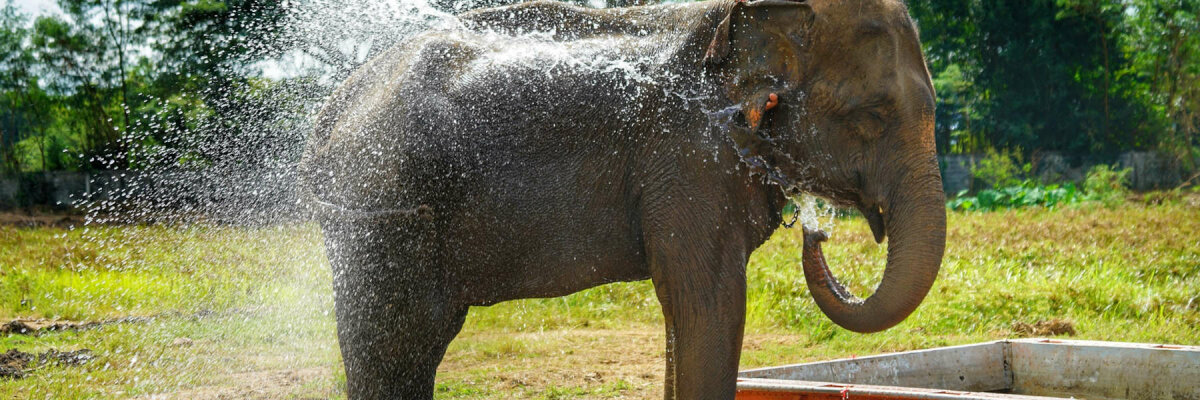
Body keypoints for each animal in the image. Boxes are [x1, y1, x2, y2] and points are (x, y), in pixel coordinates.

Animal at [300, 0, 945, 396]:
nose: (817, 232)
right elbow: (708, 300)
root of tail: (330, 109)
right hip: (380, 199)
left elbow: (685, 312)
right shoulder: (686, 158)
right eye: (871, 117)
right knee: (393, 341)